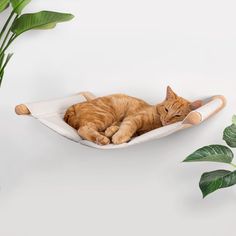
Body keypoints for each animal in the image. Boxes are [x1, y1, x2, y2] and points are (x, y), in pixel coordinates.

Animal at [64, 86, 201, 145]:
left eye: (177, 116)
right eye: (166, 109)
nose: (167, 120)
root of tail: (71, 107)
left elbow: (118, 127)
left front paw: (112, 132)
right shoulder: (133, 118)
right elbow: (127, 127)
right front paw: (119, 137)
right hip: (105, 116)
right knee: (83, 129)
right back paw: (102, 139)